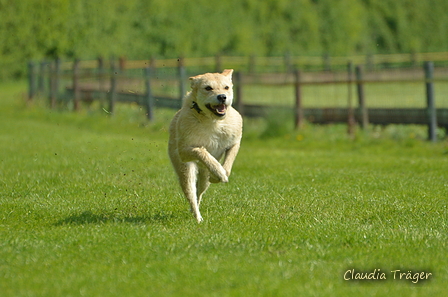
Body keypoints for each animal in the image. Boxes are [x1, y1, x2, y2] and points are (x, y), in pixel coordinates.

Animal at [170, 69, 243, 221]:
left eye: (226, 87)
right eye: (208, 88)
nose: (222, 97)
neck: (213, 121)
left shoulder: (234, 142)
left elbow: (228, 162)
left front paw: (219, 175)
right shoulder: (184, 151)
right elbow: (201, 151)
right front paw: (219, 172)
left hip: (203, 178)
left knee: (199, 192)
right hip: (185, 171)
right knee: (191, 193)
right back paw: (197, 217)